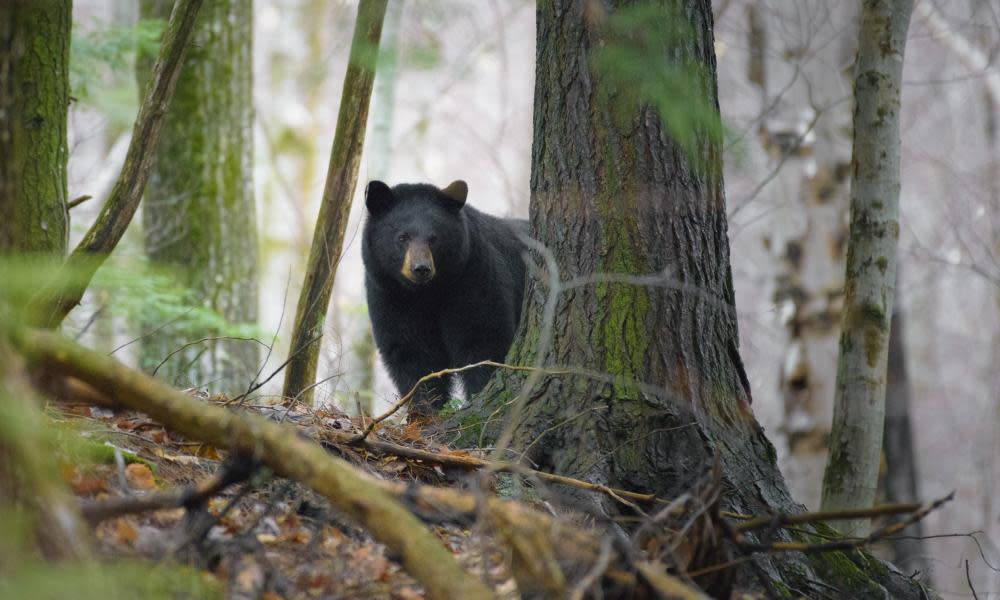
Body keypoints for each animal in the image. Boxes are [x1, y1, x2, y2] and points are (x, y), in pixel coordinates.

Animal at [362, 179, 532, 412]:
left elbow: (482, 337)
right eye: (403, 237)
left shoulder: (473, 274)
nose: (421, 268)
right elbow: (412, 351)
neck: (428, 292)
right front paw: (425, 407)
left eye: (434, 238)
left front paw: (478, 395)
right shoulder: (389, 293)